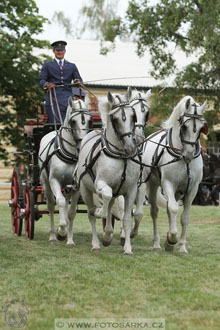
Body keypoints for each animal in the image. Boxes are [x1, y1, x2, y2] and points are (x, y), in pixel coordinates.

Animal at [38, 94, 91, 244]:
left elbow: (71, 212)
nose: (81, 144)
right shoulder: (54, 180)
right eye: (73, 121)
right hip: (46, 182)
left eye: (89, 121)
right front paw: (61, 231)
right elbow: (59, 202)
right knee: (51, 205)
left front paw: (69, 239)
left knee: (66, 204)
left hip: (67, 186)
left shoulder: (76, 186)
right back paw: (52, 236)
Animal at [76, 87, 140, 255]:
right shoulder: (101, 184)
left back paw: (107, 236)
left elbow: (126, 218)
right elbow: (104, 200)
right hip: (85, 189)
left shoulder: (130, 191)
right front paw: (99, 214)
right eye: (115, 119)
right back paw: (97, 243)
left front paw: (127, 248)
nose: (130, 148)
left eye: (133, 116)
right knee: (92, 214)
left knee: (110, 206)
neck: (121, 156)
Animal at [132, 95, 208, 253]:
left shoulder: (192, 189)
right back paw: (156, 243)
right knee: (154, 211)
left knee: (168, 209)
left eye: (200, 128)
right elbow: (173, 208)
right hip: (151, 184)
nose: (189, 155)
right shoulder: (168, 184)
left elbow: (185, 217)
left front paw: (181, 246)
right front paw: (172, 237)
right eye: (184, 127)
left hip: (178, 191)